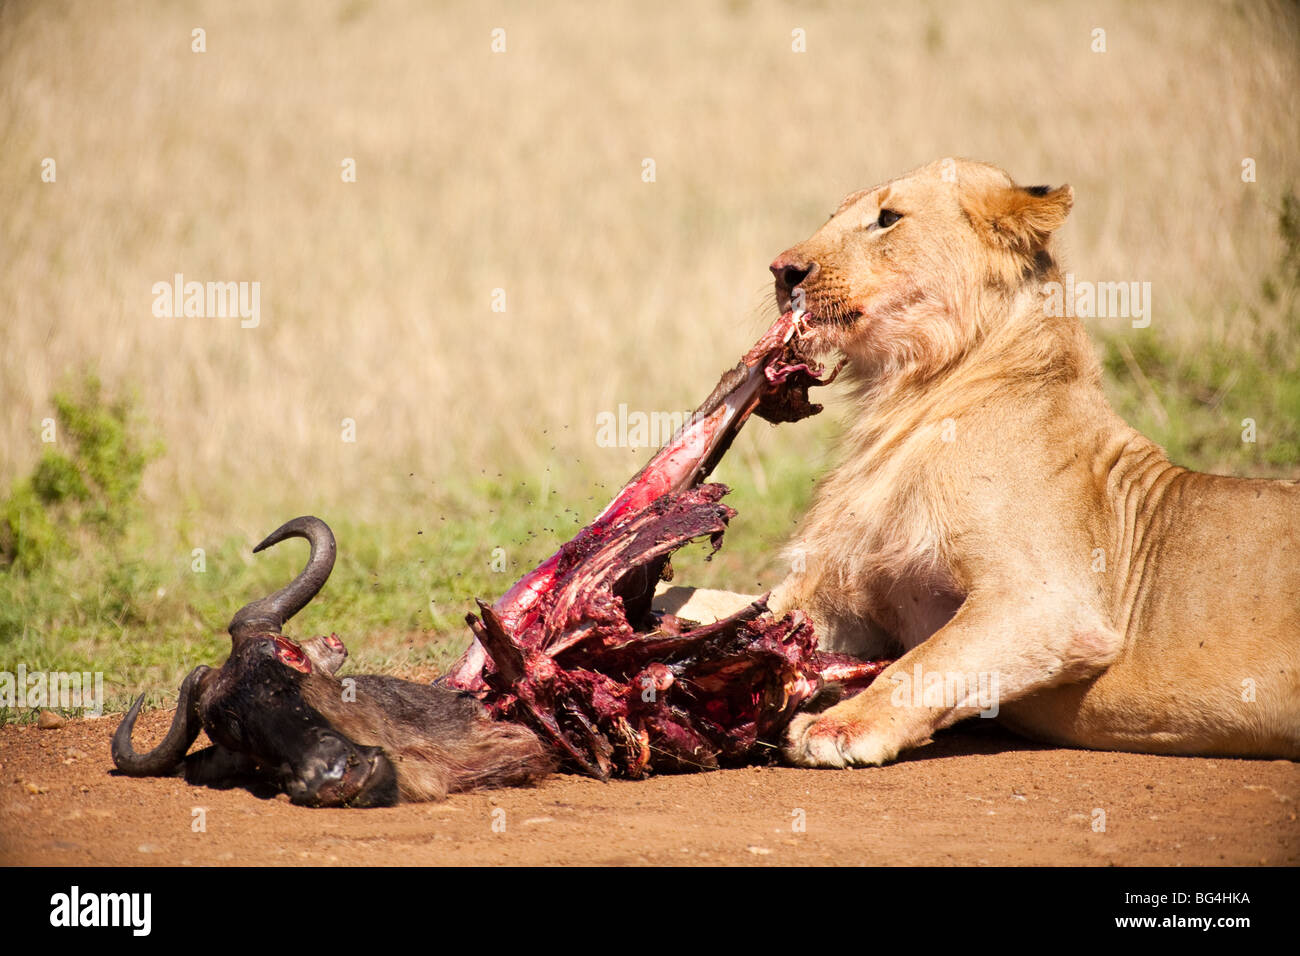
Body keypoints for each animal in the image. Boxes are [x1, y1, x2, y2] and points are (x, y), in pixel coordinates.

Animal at [665, 158, 1294, 770]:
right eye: (833, 215)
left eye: (887, 219)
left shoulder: (1056, 604)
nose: (782, 270)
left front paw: (838, 727)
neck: (907, 394)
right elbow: (729, 611)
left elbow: (927, 660)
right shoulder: (851, 599)